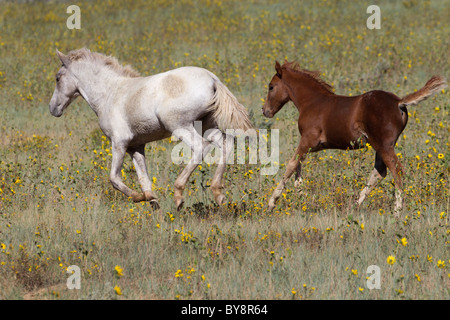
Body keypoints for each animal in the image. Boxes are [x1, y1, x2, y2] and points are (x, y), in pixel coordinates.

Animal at [50, 47, 253, 208]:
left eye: (58, 78)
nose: (53, 108)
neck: (110, 93)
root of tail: (212, 79)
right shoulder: (135, 146)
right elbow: (144, 179)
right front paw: (152, 201)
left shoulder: (119, 142)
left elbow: (114, 178)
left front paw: (139, 197)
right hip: (207, 125)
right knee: (226, 143)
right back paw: (218, 192)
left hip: (180, 126)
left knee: (201, 147)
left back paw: (179, 194)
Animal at [262, 60, 444, 215]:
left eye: (271, 87)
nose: (265, 110)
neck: (312, 102)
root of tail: (399, 102)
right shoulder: (314, 145)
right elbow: (298, 166)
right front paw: (301, 195)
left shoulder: (308, 140)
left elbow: (292, 164)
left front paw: (272, 202)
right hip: (380, 145)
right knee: (380, 171)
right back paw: (355, 205)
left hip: (384, 145)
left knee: (396, 170)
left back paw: (397, 210)